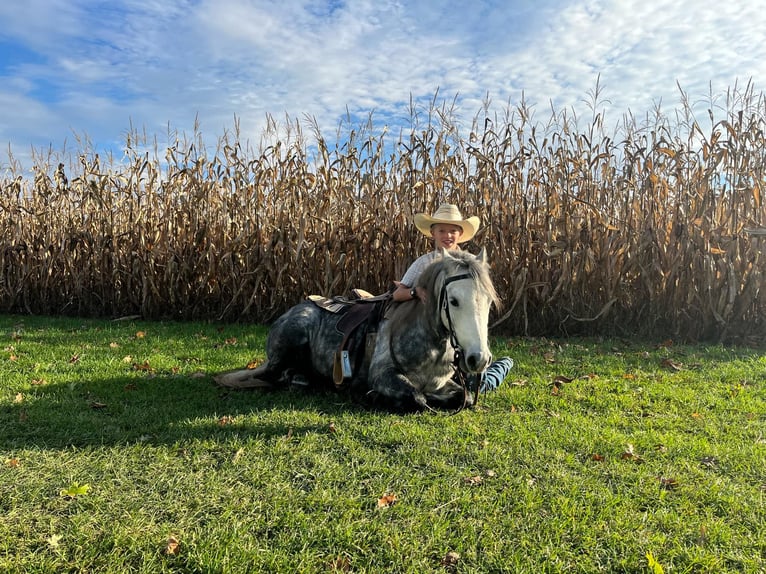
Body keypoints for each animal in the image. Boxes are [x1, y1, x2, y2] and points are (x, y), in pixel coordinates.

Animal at [214, 249, 499, 412]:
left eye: (488, 301)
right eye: (454, 301)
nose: (479, 359)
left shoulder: (443, 383)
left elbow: (464, 399)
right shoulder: (384, 376)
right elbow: (418, 399)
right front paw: (374, 397)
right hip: (293, 337)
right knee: (275, 374)